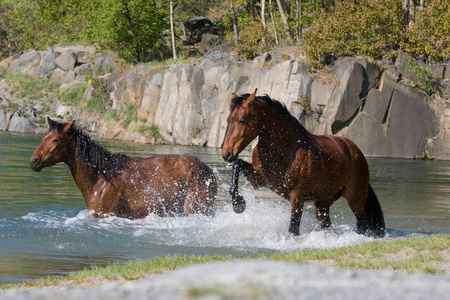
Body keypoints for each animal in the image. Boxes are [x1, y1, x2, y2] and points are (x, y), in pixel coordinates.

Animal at [29, 117, 216, 218]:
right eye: (44, 137)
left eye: (56, 140)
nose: (34, 161)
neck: (100, 180)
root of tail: (208, 171)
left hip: (195, 208)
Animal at [221, 89, 384, 237]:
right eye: (228, 120)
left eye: (242, 120)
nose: (226, 154)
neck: (285, 149)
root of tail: (355, 151)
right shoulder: (259, 179)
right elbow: (237, 164)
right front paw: (238, 204)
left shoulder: (297, 197)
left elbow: (293, 229)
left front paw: (238, 204)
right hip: (322, 203)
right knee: (327, 223)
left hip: (355, 197)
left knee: (361, 224)